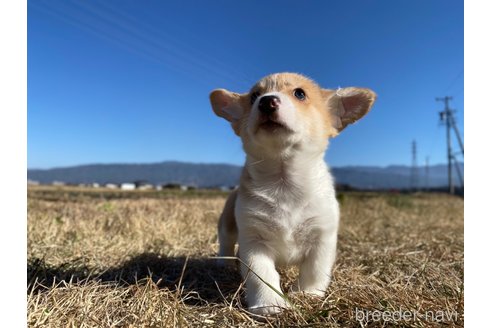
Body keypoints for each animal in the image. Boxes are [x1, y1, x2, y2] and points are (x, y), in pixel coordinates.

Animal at [209, 72, 376, 316]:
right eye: (254, 96)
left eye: (299, 94)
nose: (267, 101)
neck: (284, 181)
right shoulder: (254, 241)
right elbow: (263, 275)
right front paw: (270, 304)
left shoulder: (322, 238)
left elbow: (315, 270)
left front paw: (307, 294)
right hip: (227, 222)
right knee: (226, 241)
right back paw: (223, 263)